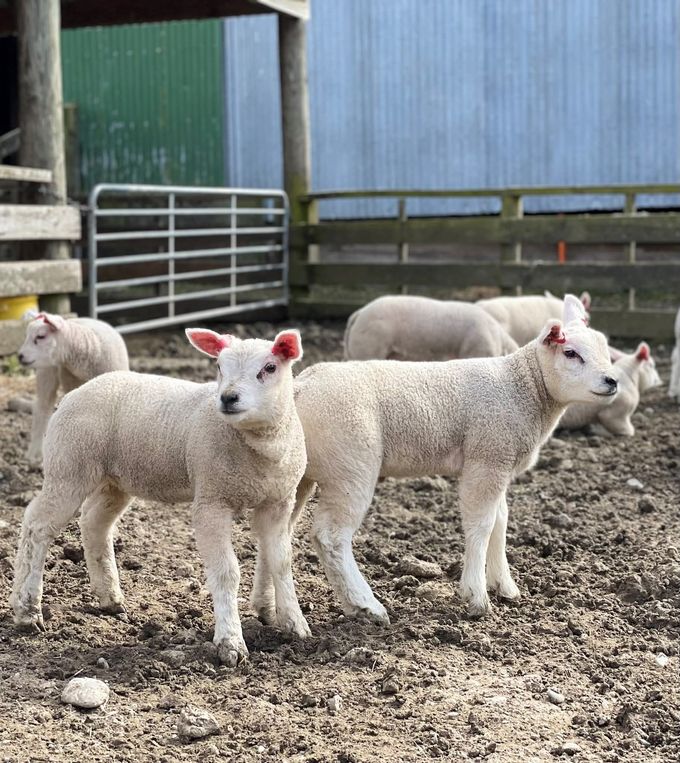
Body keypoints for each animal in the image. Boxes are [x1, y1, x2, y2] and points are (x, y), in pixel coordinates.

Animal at [10, 328, 309, 666]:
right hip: (69, 467)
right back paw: (27, 610)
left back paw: (109, 598)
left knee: (94, 522)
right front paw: (231, 642)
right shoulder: (211, 500)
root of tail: (77, 392)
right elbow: (226, 571)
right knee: (37, 525)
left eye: (270, 368)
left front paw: (296, 625)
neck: (260, 450)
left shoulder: (279, 502)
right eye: (219, 366)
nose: (228, 398)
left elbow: (282, 562)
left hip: (115, 479)